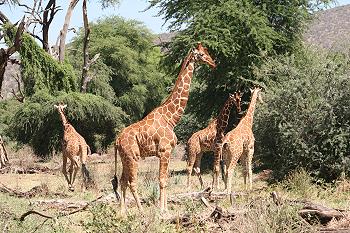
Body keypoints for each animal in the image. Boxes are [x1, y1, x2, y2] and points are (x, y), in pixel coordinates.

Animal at [112, 42, 216, 213]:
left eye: (207, 52)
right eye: (201, 54)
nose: (213, 63)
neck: (171, 118)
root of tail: (117, 141)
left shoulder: (168, 152)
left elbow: (166, 179)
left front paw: (166, 208)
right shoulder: (164, 151)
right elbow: (162, 180)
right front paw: (162, 211)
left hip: (124, 157)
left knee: (122, 181)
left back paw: (123, 212)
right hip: (133, 156)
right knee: (131, 182)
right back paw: (141, 211)